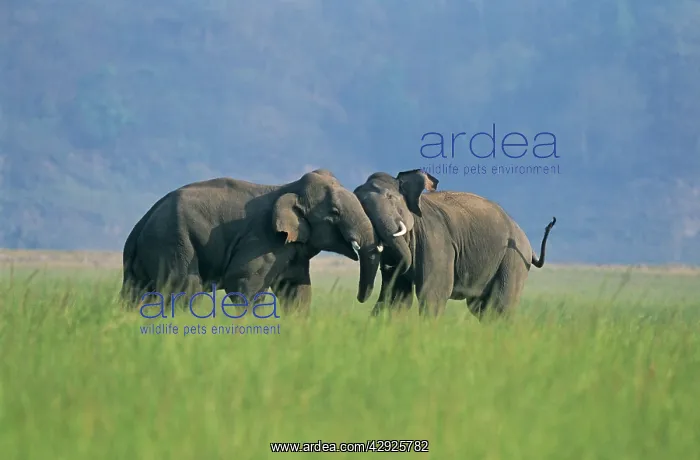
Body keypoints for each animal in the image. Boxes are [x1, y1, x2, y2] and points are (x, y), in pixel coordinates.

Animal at [120, 169, 384, 315]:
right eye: (335, 213)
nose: (360, 300)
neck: (289, 188)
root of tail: (140, 226)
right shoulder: (264, 241)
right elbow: (242, 282)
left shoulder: (291, 249)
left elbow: (296, 289)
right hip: (174, 242)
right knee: (184, 288)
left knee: (137, 292)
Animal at [353, 169, 556, 320]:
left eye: (390, 197)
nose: (387, 267)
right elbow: (395, 298)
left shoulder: (435, 239)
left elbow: (432, 294)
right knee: (482, 309)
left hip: (513, 259)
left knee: (500, 308)